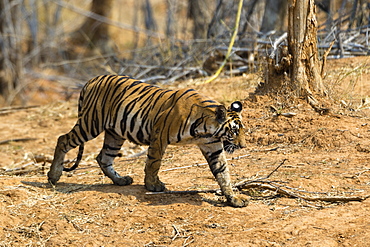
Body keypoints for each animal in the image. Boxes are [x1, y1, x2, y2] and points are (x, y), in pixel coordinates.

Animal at [47, 74, 249, 207]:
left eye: (242, 130)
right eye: (234, 131)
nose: (243, 146)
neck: (206, 130)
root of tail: (91, 80)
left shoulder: (213, 146)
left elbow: (223, 173)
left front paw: (234, 198)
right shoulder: (159, 136)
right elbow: (153, 163)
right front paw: (153, 185)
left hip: (115, 133)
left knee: (103, 157)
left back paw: (120, 180)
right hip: (91, 124)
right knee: (63, 139)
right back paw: (53, 175)